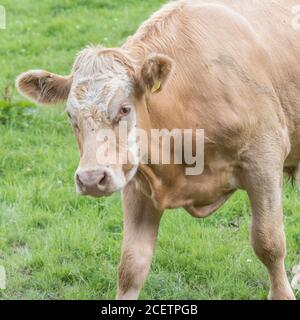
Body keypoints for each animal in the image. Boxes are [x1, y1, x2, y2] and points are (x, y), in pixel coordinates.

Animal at [16, 0, 300, 300]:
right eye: (71, 116)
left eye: (124, 108)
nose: (91, 179)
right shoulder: (135, 183)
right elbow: (132, 264)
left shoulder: (263, 160)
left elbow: (268, 242)